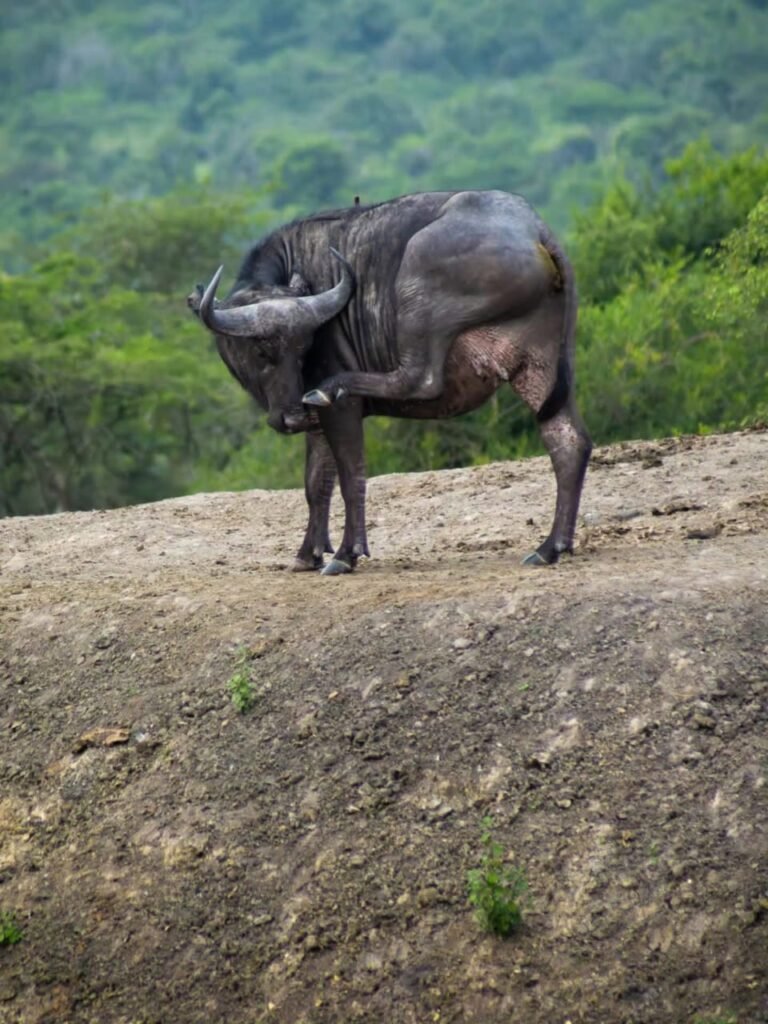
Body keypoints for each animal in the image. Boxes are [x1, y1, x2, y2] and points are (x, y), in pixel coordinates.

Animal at [189, 190, 592, 575]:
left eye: (303, 347)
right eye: (261, 351)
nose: (291, 416)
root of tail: (534, 230)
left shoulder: (340, 414)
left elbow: (351, 476)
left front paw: (345, 554)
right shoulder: (316, 425)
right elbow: (315, 483)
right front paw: (308, 554)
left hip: (418, 286)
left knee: (421, 379)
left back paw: (333, 386)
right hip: (542, 365)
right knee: (568, 441)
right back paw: (550, 547)